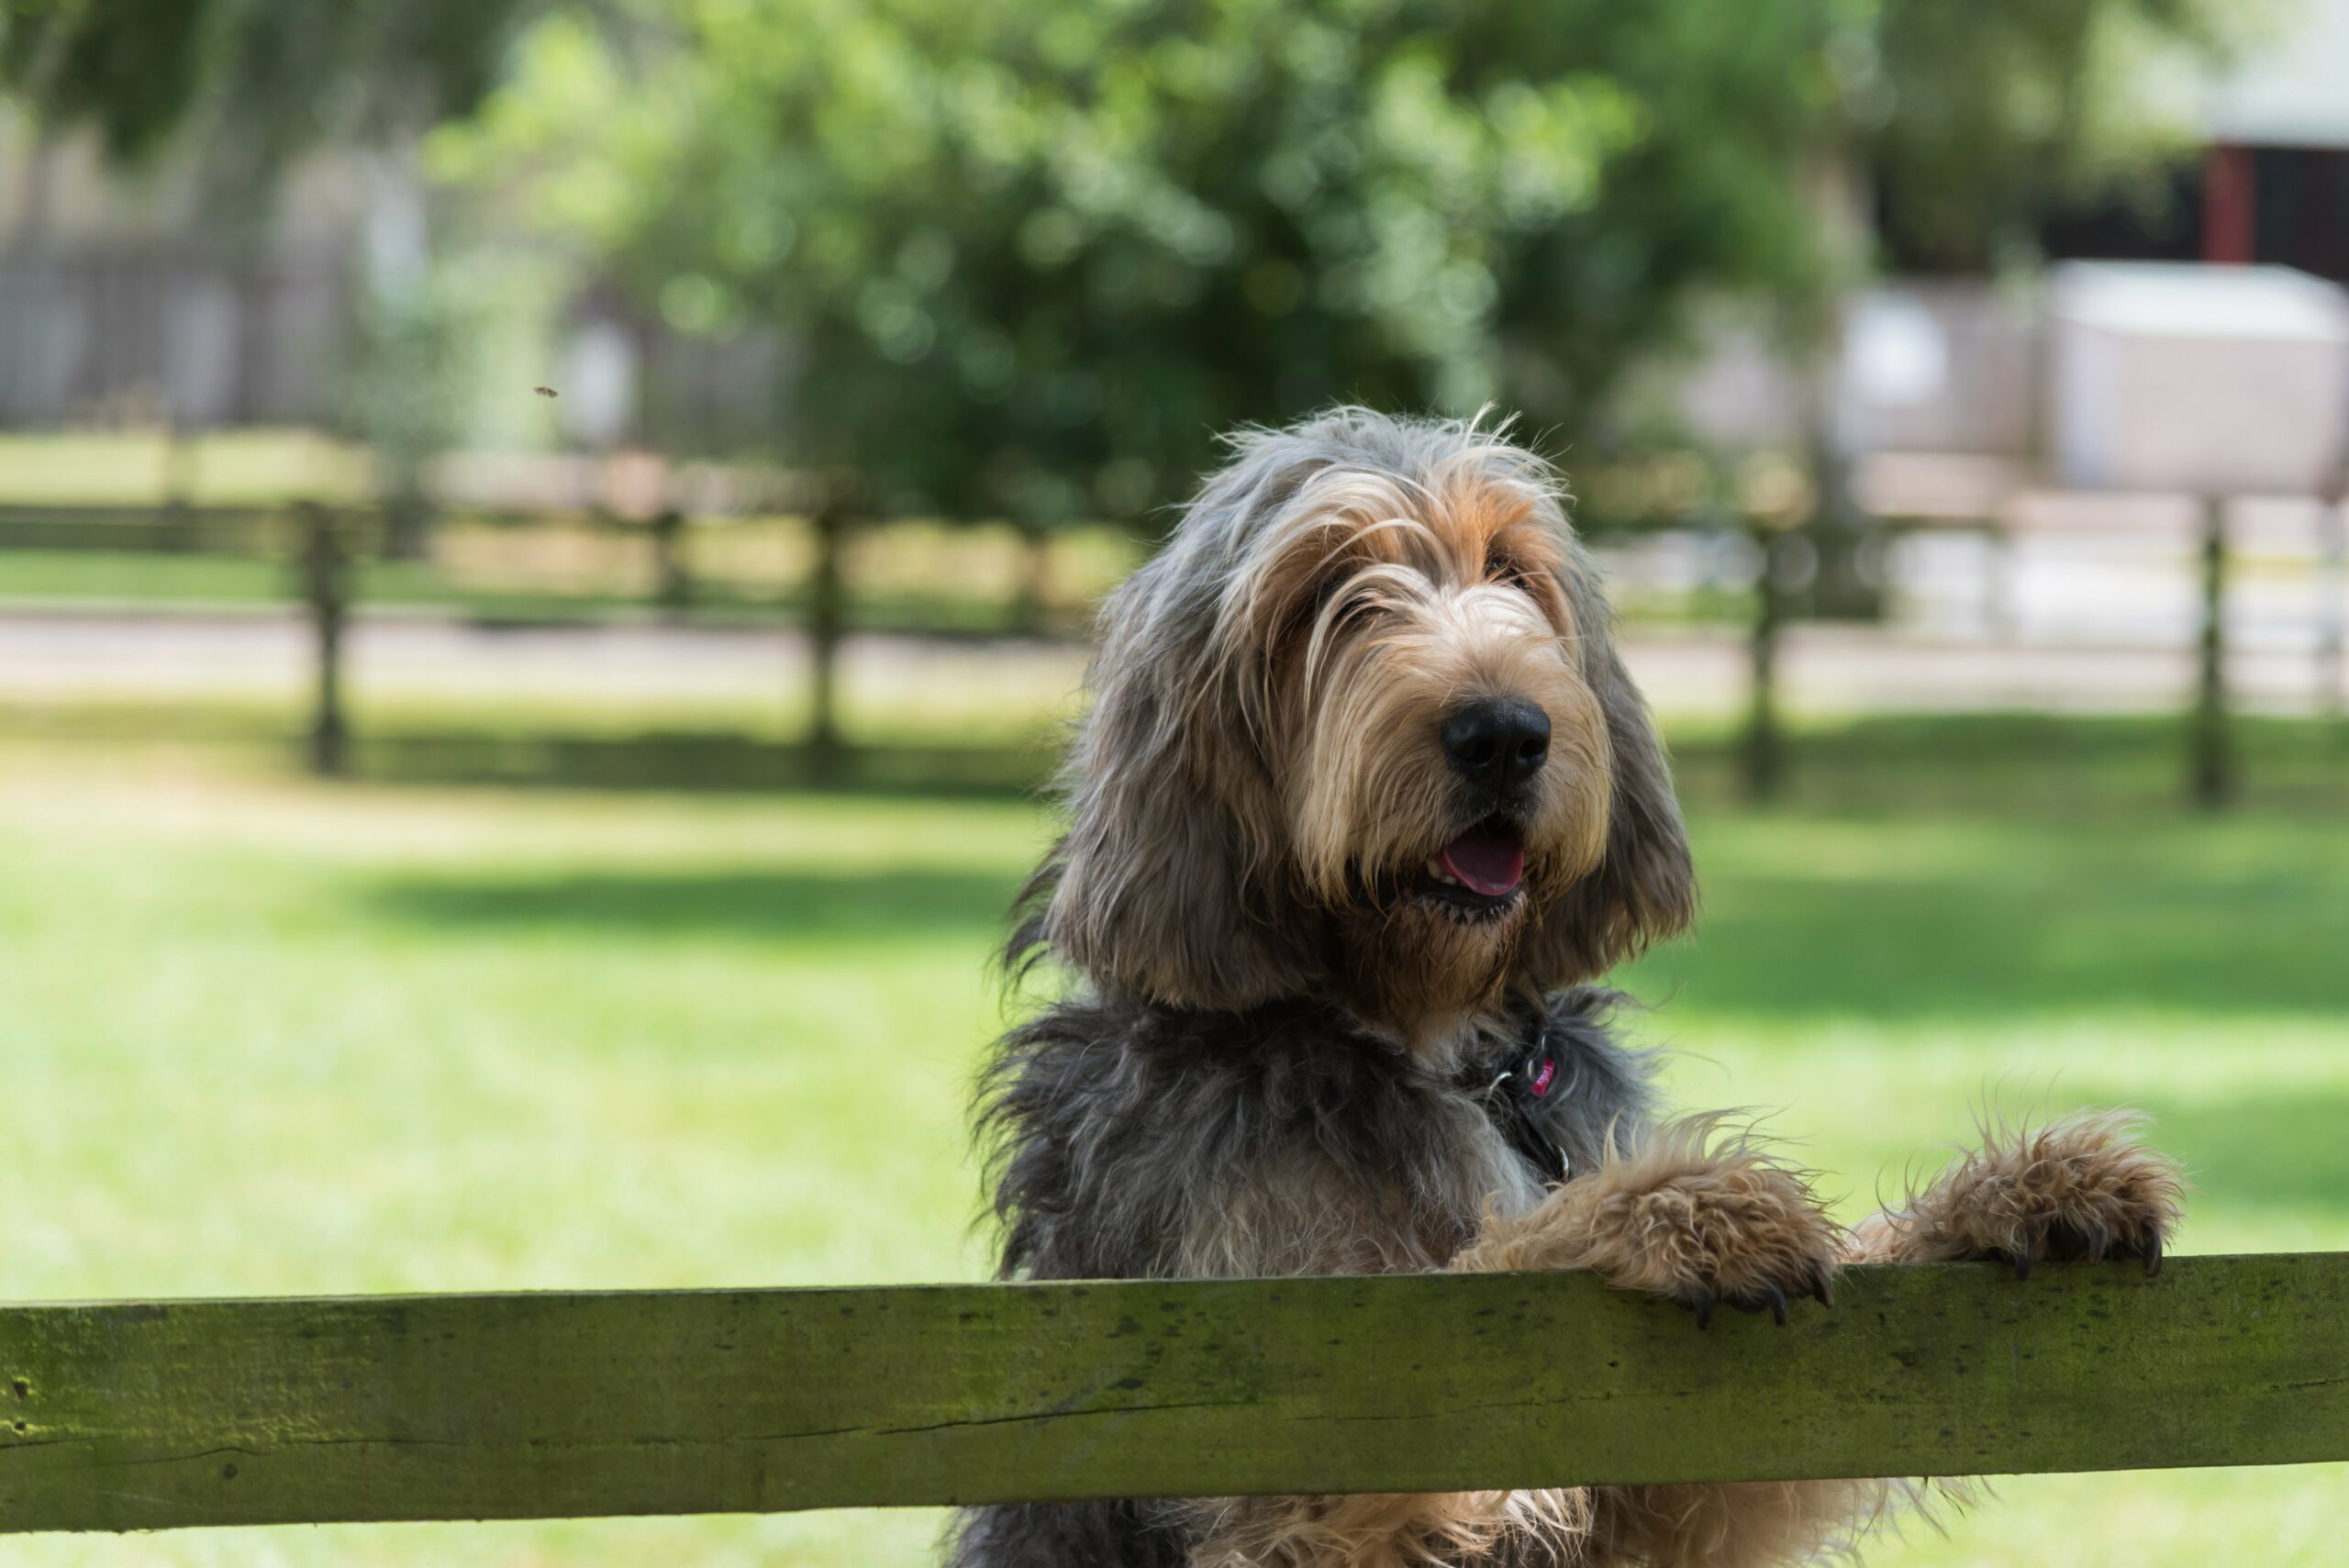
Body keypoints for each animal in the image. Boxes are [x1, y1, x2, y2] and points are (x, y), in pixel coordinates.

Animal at [953, 408, 2179, 1568]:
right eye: (1326, 593)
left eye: (1511, 567)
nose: (1503, 731)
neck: (1437, 1040)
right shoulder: (1282, 1418)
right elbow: (1487, 1265)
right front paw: (1674, 1209)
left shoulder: (1670, 1482)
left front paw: (2017, 1189)